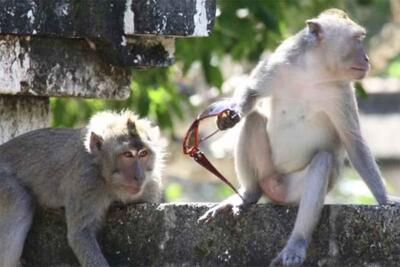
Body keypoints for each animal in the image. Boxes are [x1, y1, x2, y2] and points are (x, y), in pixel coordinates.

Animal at [198, 9, 398, 266]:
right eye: (357, 39)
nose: (367, 59)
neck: (313, 72)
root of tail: (274, 188)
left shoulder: (341, 92)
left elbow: (353, 141)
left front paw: (384, 199)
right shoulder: (278, 63)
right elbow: (252, 93)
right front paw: (230, 116)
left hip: (291, 191)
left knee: (322, 161)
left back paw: (297, 243)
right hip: (267, 171)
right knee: (254, 119)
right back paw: (248, 195)